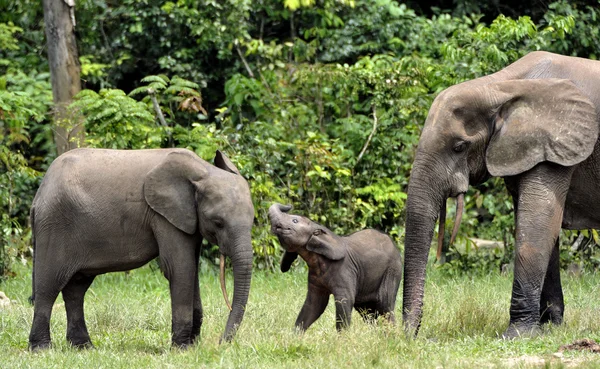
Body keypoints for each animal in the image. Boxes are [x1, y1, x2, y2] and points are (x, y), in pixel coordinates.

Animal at [28, 147, 253, 348]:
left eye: (252, 220)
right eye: (218, 222)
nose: (221, 343)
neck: (202, 171)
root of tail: (39, 195)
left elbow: (191, 269)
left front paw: (191, 346)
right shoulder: (163, 216)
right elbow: (179, 268)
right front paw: (181, 348)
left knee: (76, 289)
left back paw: (83, 347)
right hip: (54, 225)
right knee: (49, 285)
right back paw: (41, 348)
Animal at [268, 203, 404, 330]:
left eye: (295, 221)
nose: (289, 205)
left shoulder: (345, 269)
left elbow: (344, 301)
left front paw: (343, 338)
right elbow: (314, 305)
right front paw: (295, 336)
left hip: (393, 270)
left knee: (385, 305)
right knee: (367, 312)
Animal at [400, 50, 600, 338]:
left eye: (459, 147)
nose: (408, 336)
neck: (499, 86)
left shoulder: (555, 140)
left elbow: (538, 222)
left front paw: (517, 335)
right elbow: (541, 227)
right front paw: (550, 328)